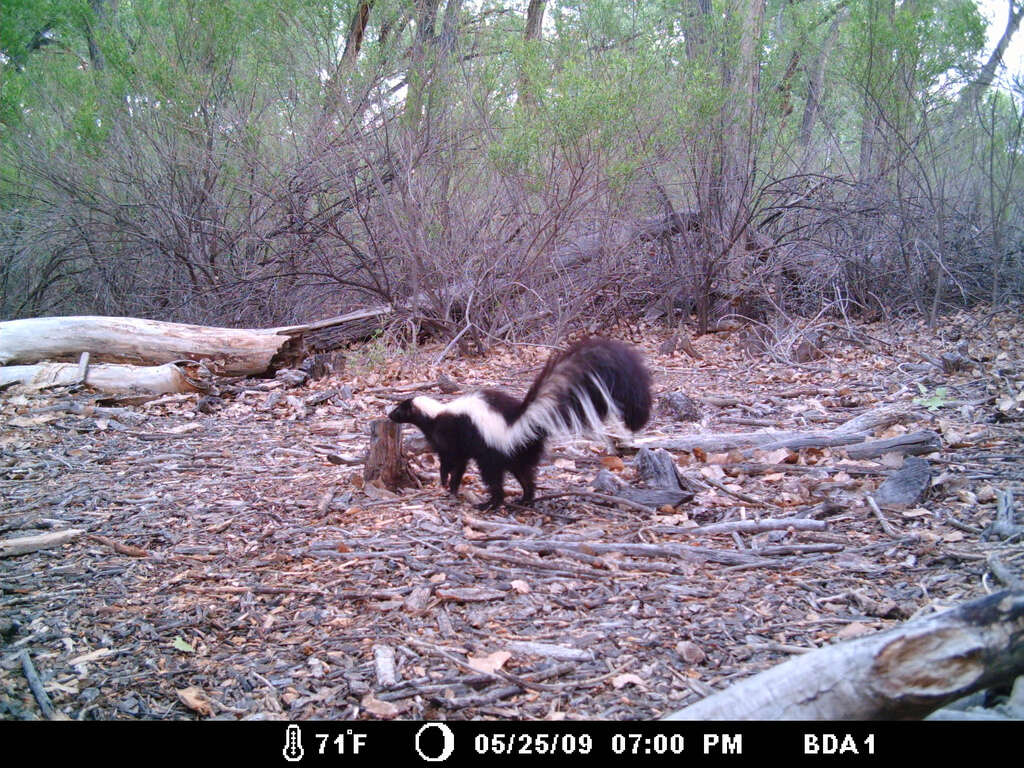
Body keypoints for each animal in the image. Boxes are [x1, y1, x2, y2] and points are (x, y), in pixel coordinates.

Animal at [387, 337, 651, 512]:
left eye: (399, 410)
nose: (388, 415)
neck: (435, 413)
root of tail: (522, 420)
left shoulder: (450, 437)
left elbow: (450, 462)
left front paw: (445, 483)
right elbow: (459, 467)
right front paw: (452, 488)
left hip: (493, 452)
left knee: (496, 480)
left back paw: (491, 504)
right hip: (518, 452)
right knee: (527, 477)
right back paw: (525, 499)